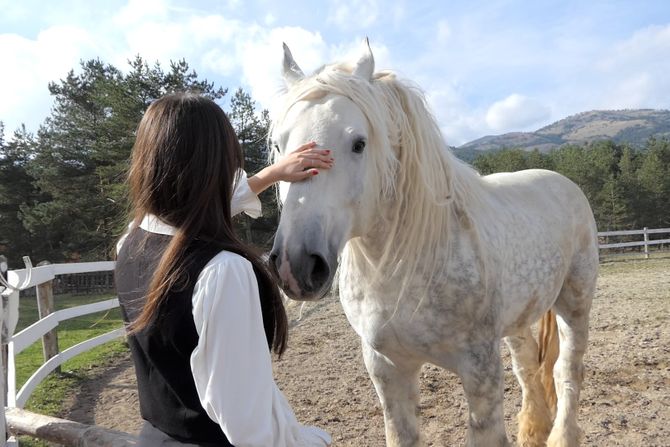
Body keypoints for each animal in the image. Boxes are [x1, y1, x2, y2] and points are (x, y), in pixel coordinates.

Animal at [270, 40, 600, 446]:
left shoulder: (480, 370)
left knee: (567, 371)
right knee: (527, 369)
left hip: (575, 303)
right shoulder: (387, 369)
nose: (296, 264)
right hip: (520, 318)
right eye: (278, 145)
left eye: (359, 143)